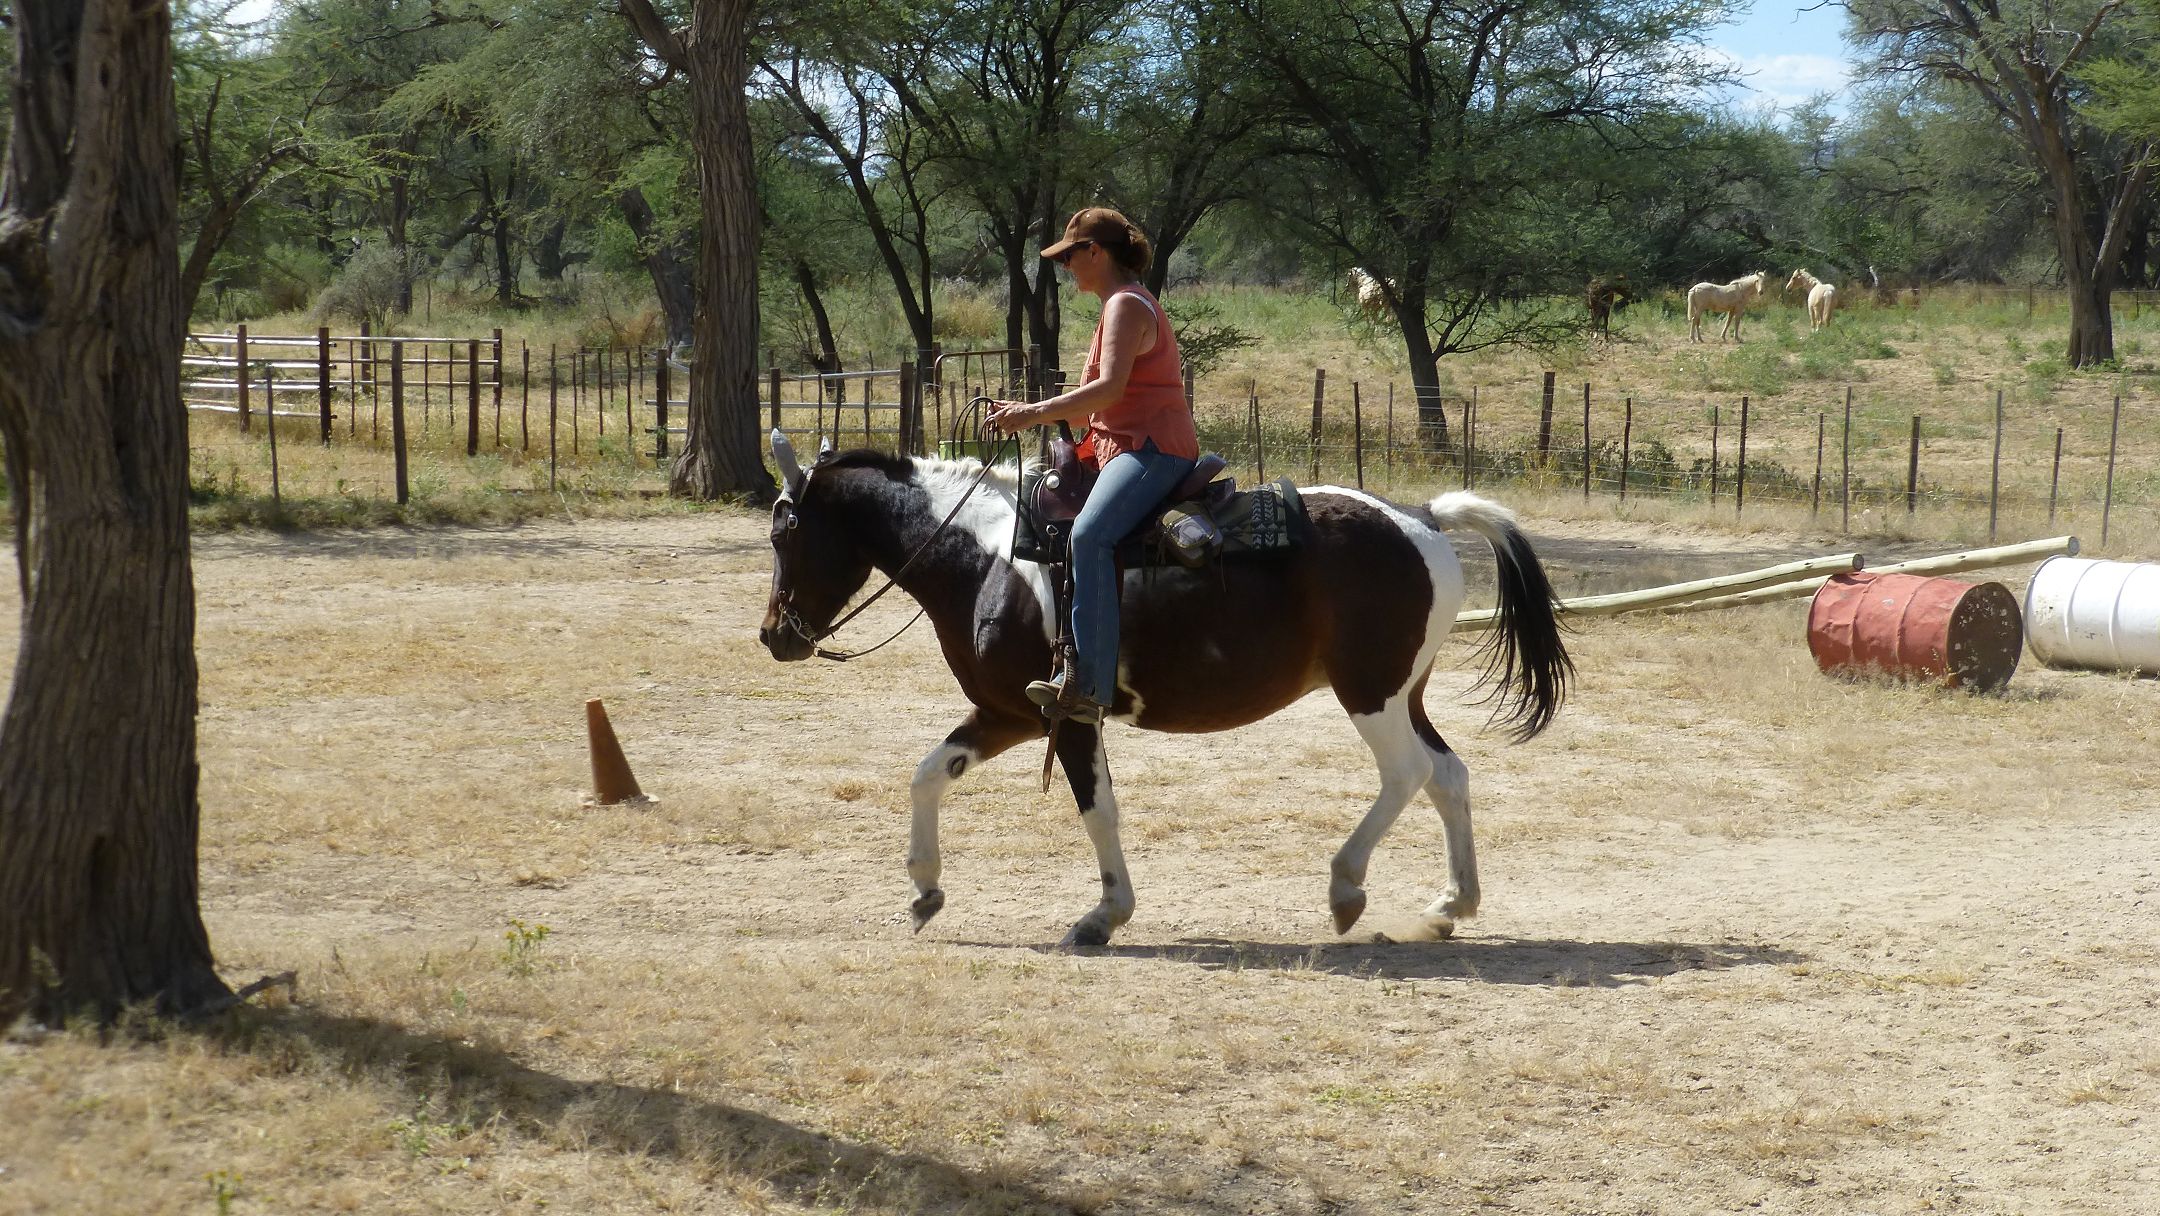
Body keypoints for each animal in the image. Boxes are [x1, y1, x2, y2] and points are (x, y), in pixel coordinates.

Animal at [760, 431, 1572, 946]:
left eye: (783, 533)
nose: (774, 636)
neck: (988, 558)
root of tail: (1422, 518)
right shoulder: (1009, 712)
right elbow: (929, 774)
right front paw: (925, 890)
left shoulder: (1068, 715)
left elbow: (1098, 811)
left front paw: (1104, 915)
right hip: (1405, 693)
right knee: (1447, 776)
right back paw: (1451, 902)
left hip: (1370, 694)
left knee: (1406, 774)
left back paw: (1347, 887)